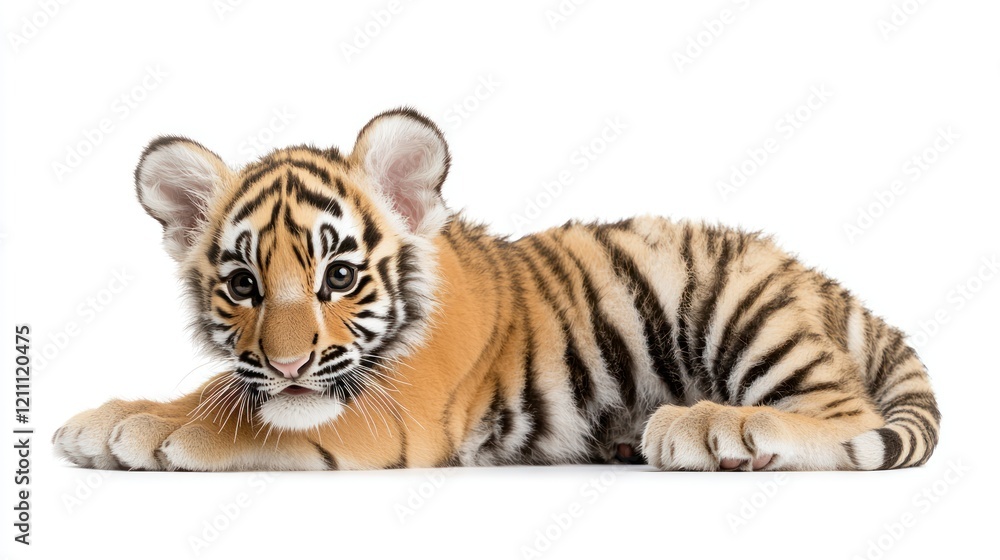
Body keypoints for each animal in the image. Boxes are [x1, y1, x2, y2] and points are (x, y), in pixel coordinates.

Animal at [52, 108, 940, 472]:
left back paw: (709, 427)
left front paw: (157, 437)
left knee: (843, 414)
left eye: (339, 276)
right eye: (241, 284)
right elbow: (214, 391)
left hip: (738, 308)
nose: (290, 367)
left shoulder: (394, 417)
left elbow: (247, 422)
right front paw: (106, 422)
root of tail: (819, 279)